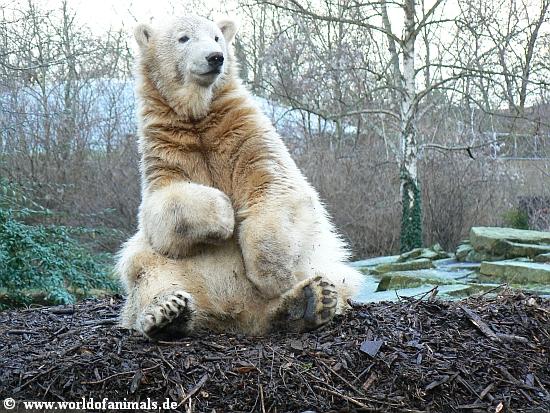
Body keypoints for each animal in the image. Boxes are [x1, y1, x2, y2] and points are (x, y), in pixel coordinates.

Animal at [116, 14, 363, 339]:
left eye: (217, 37)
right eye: (183, 38)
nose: (215, 57)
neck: (198, 118)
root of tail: (229, 312)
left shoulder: (244, 134)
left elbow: (275, 185)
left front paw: (272, 274)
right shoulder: (165, 150)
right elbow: (161, 212)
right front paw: (222, 215)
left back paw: (311, 301)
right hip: (166, 271)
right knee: (148, 270)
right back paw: (168, 314)